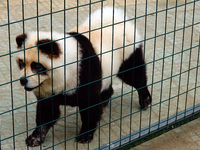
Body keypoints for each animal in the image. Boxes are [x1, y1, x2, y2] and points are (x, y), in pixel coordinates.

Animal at [14, 7, 152, 146]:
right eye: (21, 63)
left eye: (37, 66)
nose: (23, 80)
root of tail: (118, 18)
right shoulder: (49, 92)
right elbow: (47, 112)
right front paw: (35, 137)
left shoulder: (83, 74)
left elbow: (89, 107)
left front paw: (85, 135)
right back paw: (104, 101)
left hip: (128, 52)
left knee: (135, 75)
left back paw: (145, 100)